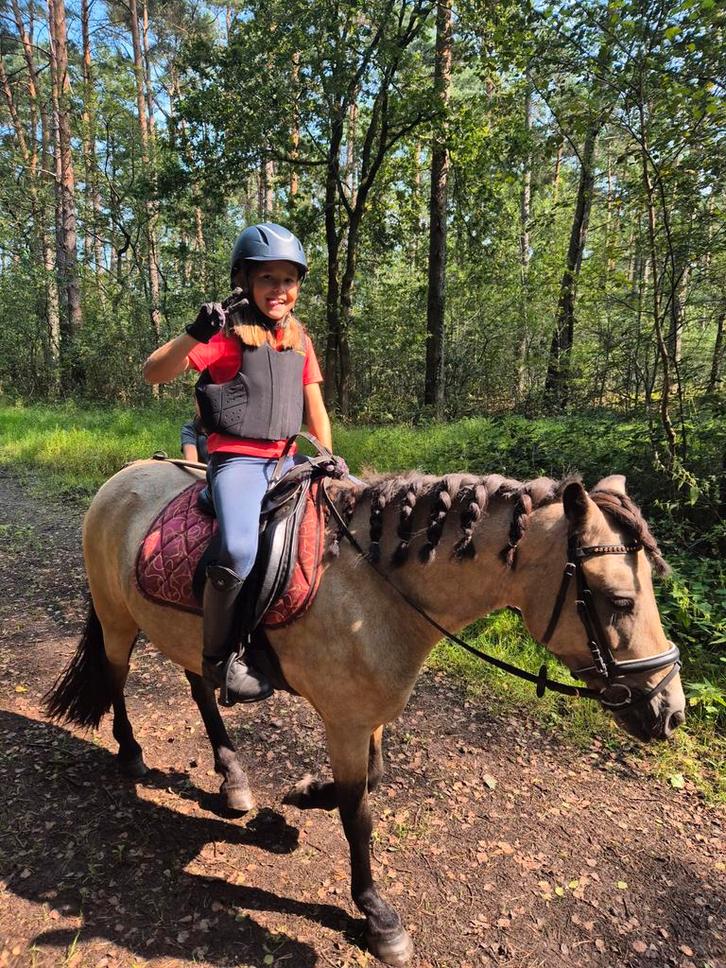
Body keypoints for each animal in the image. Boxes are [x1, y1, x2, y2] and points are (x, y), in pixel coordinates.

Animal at [45, 460, 685, 967]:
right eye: (619, 601)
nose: (670, 710)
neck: (377, 592)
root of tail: (120, 479)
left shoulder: (370, 717)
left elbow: (370, 782)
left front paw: (305, 795)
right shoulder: (346, 722)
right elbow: (359, 817)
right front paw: (378, 916)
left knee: (202, 690)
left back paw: (233, 779)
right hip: (117, 618)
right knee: (118, 678)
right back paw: (132, 753)